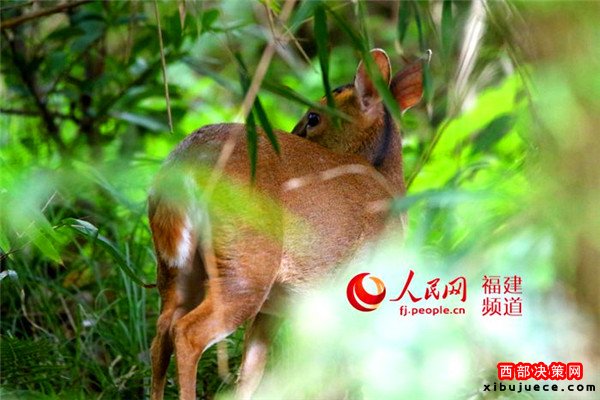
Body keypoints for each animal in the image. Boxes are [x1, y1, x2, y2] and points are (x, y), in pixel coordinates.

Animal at [148, 48, 423, 400]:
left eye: (313, 118)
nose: (294, 131)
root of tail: (188, 161)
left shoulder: (278, 309)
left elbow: (252, 372)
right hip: (247, 263)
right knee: (187, 332)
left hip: (175, 267)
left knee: (162, 332)